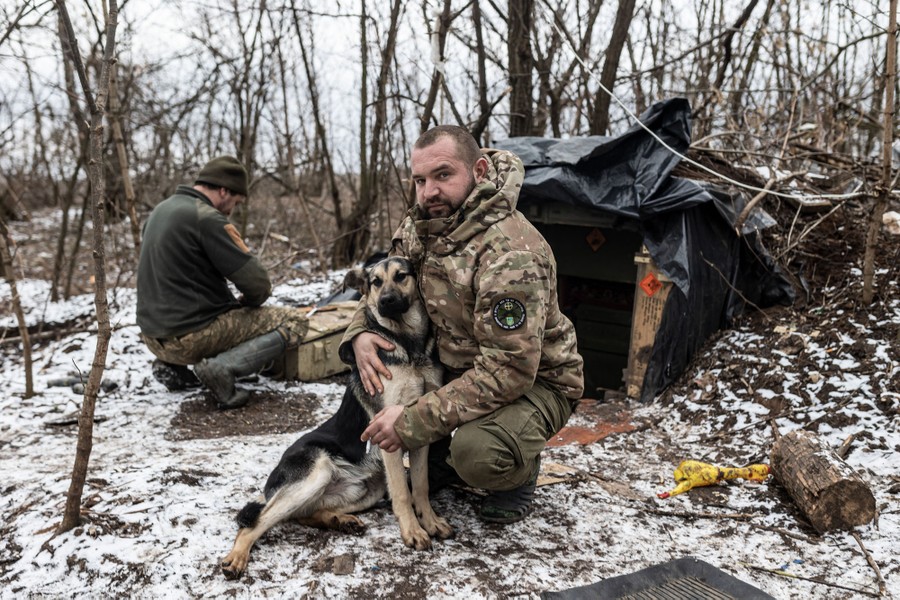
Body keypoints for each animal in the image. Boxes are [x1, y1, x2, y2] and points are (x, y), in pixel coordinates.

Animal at [222, 255, 454, 580]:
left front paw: (430, 522)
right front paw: (413, 532)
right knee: (257, 522)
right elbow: (402, 493)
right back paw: (236, 559)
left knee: (301, 514)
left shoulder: (418, 429)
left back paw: (340, 521)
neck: (409, 346)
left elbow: (420, 486)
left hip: (367, 488)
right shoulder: (389, 432)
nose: (386, 301)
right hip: (315, 473)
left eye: (401, 276)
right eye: (376, 282)